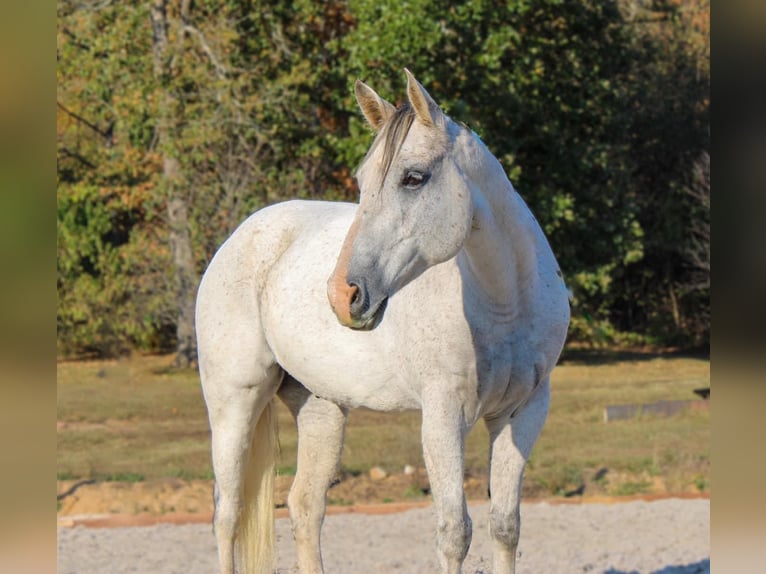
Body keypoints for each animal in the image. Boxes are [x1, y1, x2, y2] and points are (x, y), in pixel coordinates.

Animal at [198, 70, 568, 572]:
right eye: (361, 181)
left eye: (413, 177)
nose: (342, 295)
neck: (503, 304)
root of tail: (242, 235)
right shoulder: (443, 418)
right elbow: (455, 533)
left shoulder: (522, 413)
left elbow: (505, 527)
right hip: (234, 402)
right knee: (228, 514)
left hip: (321, 409)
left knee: (304, 507)